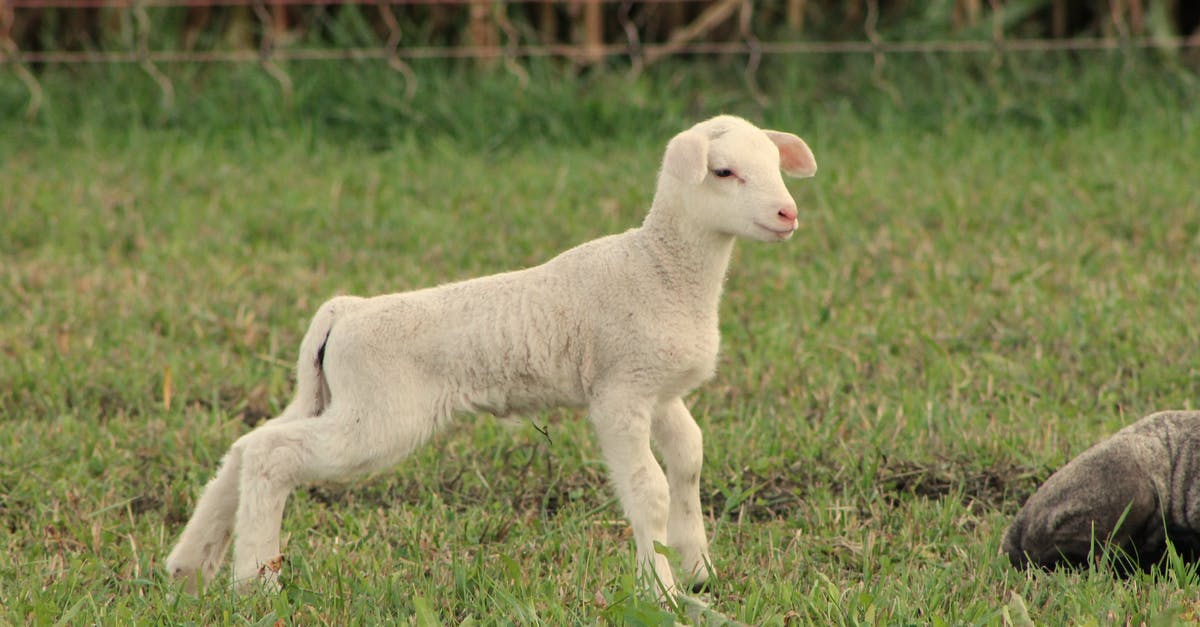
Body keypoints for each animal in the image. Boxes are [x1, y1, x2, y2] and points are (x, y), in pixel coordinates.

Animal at [166, 114, 816, 598]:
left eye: (775, 165)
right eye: (724, 171)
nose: (789, 214)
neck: (661, 268)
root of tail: (342, 312)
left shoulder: (659, 390)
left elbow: (689, 462)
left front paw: (700, 573)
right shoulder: (619, 392)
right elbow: (648, 488)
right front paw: (663, 593)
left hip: (332, 397)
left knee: (248, 444)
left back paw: (190, 567)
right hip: (379, 416)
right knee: (273, 455)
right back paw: (254, 583)